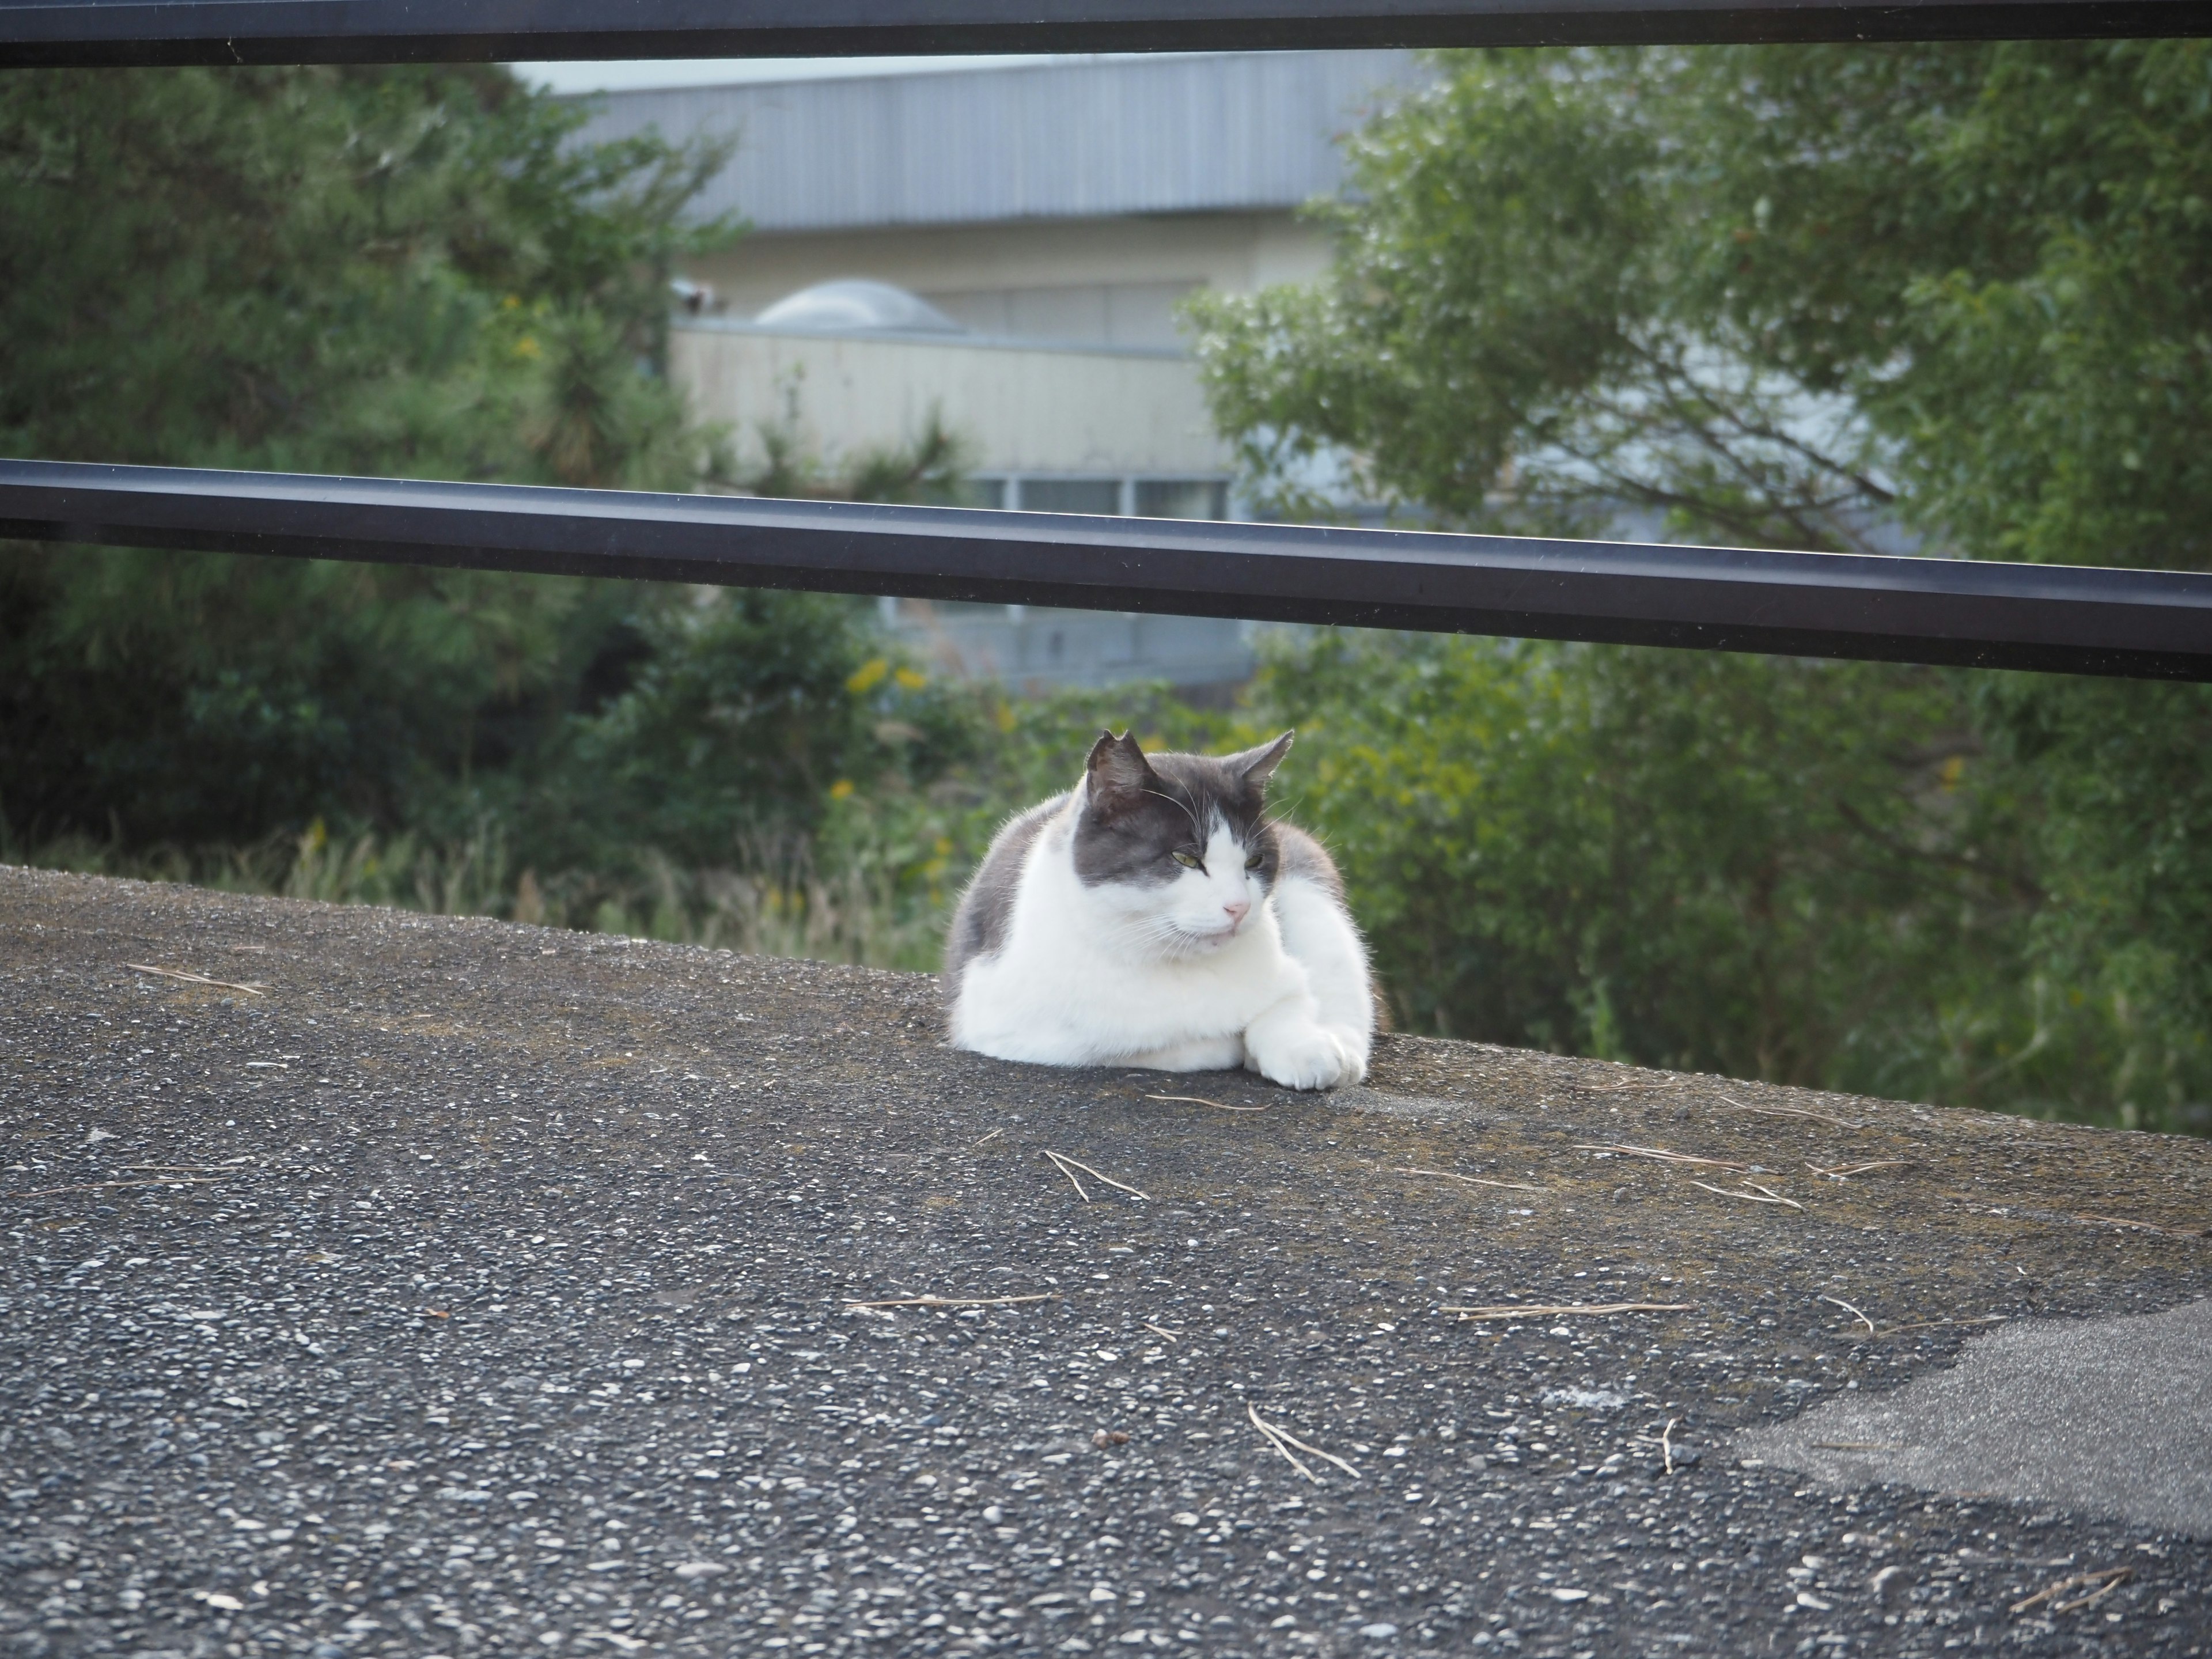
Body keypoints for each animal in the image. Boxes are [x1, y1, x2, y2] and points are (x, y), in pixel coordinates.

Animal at [946, 730, 1371, 1092]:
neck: (1169, 963)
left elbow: (1290, 999)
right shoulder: (1004, 1023)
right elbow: (1150, 1045)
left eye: (1254, 861)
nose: (1240, 906)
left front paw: (1304, 1047)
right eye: (1185, 858)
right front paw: (1228, 1044)